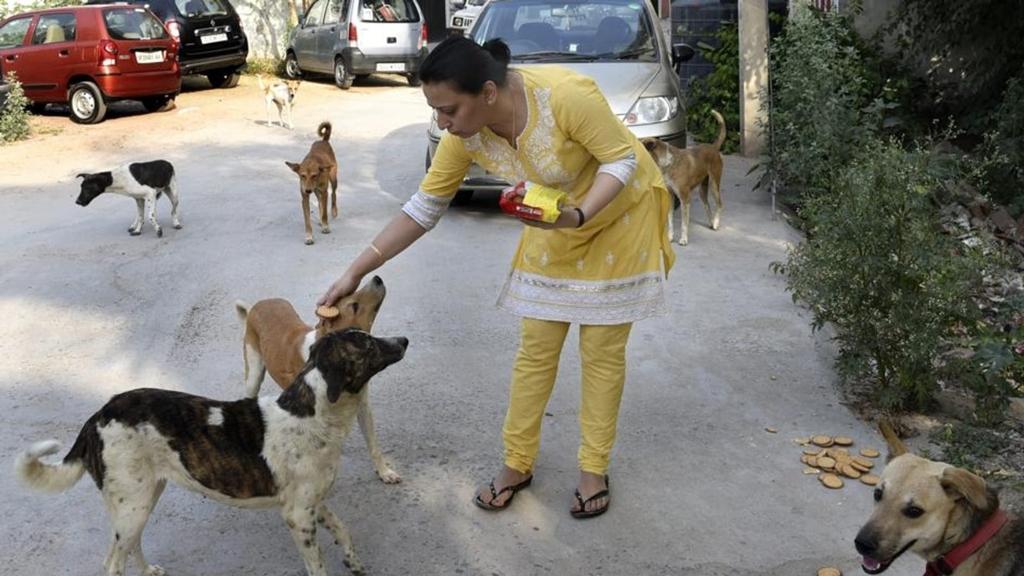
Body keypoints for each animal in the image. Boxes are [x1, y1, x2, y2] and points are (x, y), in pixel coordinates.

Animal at [14, 327, 407, 573]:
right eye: (367, 344)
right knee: (112, 563)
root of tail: (98, 415)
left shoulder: (313, 504)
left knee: (126, 546)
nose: (404, 339)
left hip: (140, 500)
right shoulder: (298, 515)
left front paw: (354, 562)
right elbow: (318, 566)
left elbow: (344, 530)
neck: (312, 413)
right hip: (134, 503)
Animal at [235, 272, 399, 479]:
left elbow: (373, 443)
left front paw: (384, 471)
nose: (377, 278)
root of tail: (256, 306)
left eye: (351, 292)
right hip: (254, 376)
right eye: (354, 305)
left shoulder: (362, 405)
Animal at [638, 109, 729, 243]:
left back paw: (716, 223)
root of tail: (713, 147)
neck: (667, 163)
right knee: (707, 205)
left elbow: (684, 223)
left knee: (719, 204)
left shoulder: (684, 198)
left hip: (714, 184)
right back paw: (711, 223)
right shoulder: (670, 195)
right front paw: (670, 237)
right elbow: (670, 220)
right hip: (702, 189)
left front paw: (684, 239)